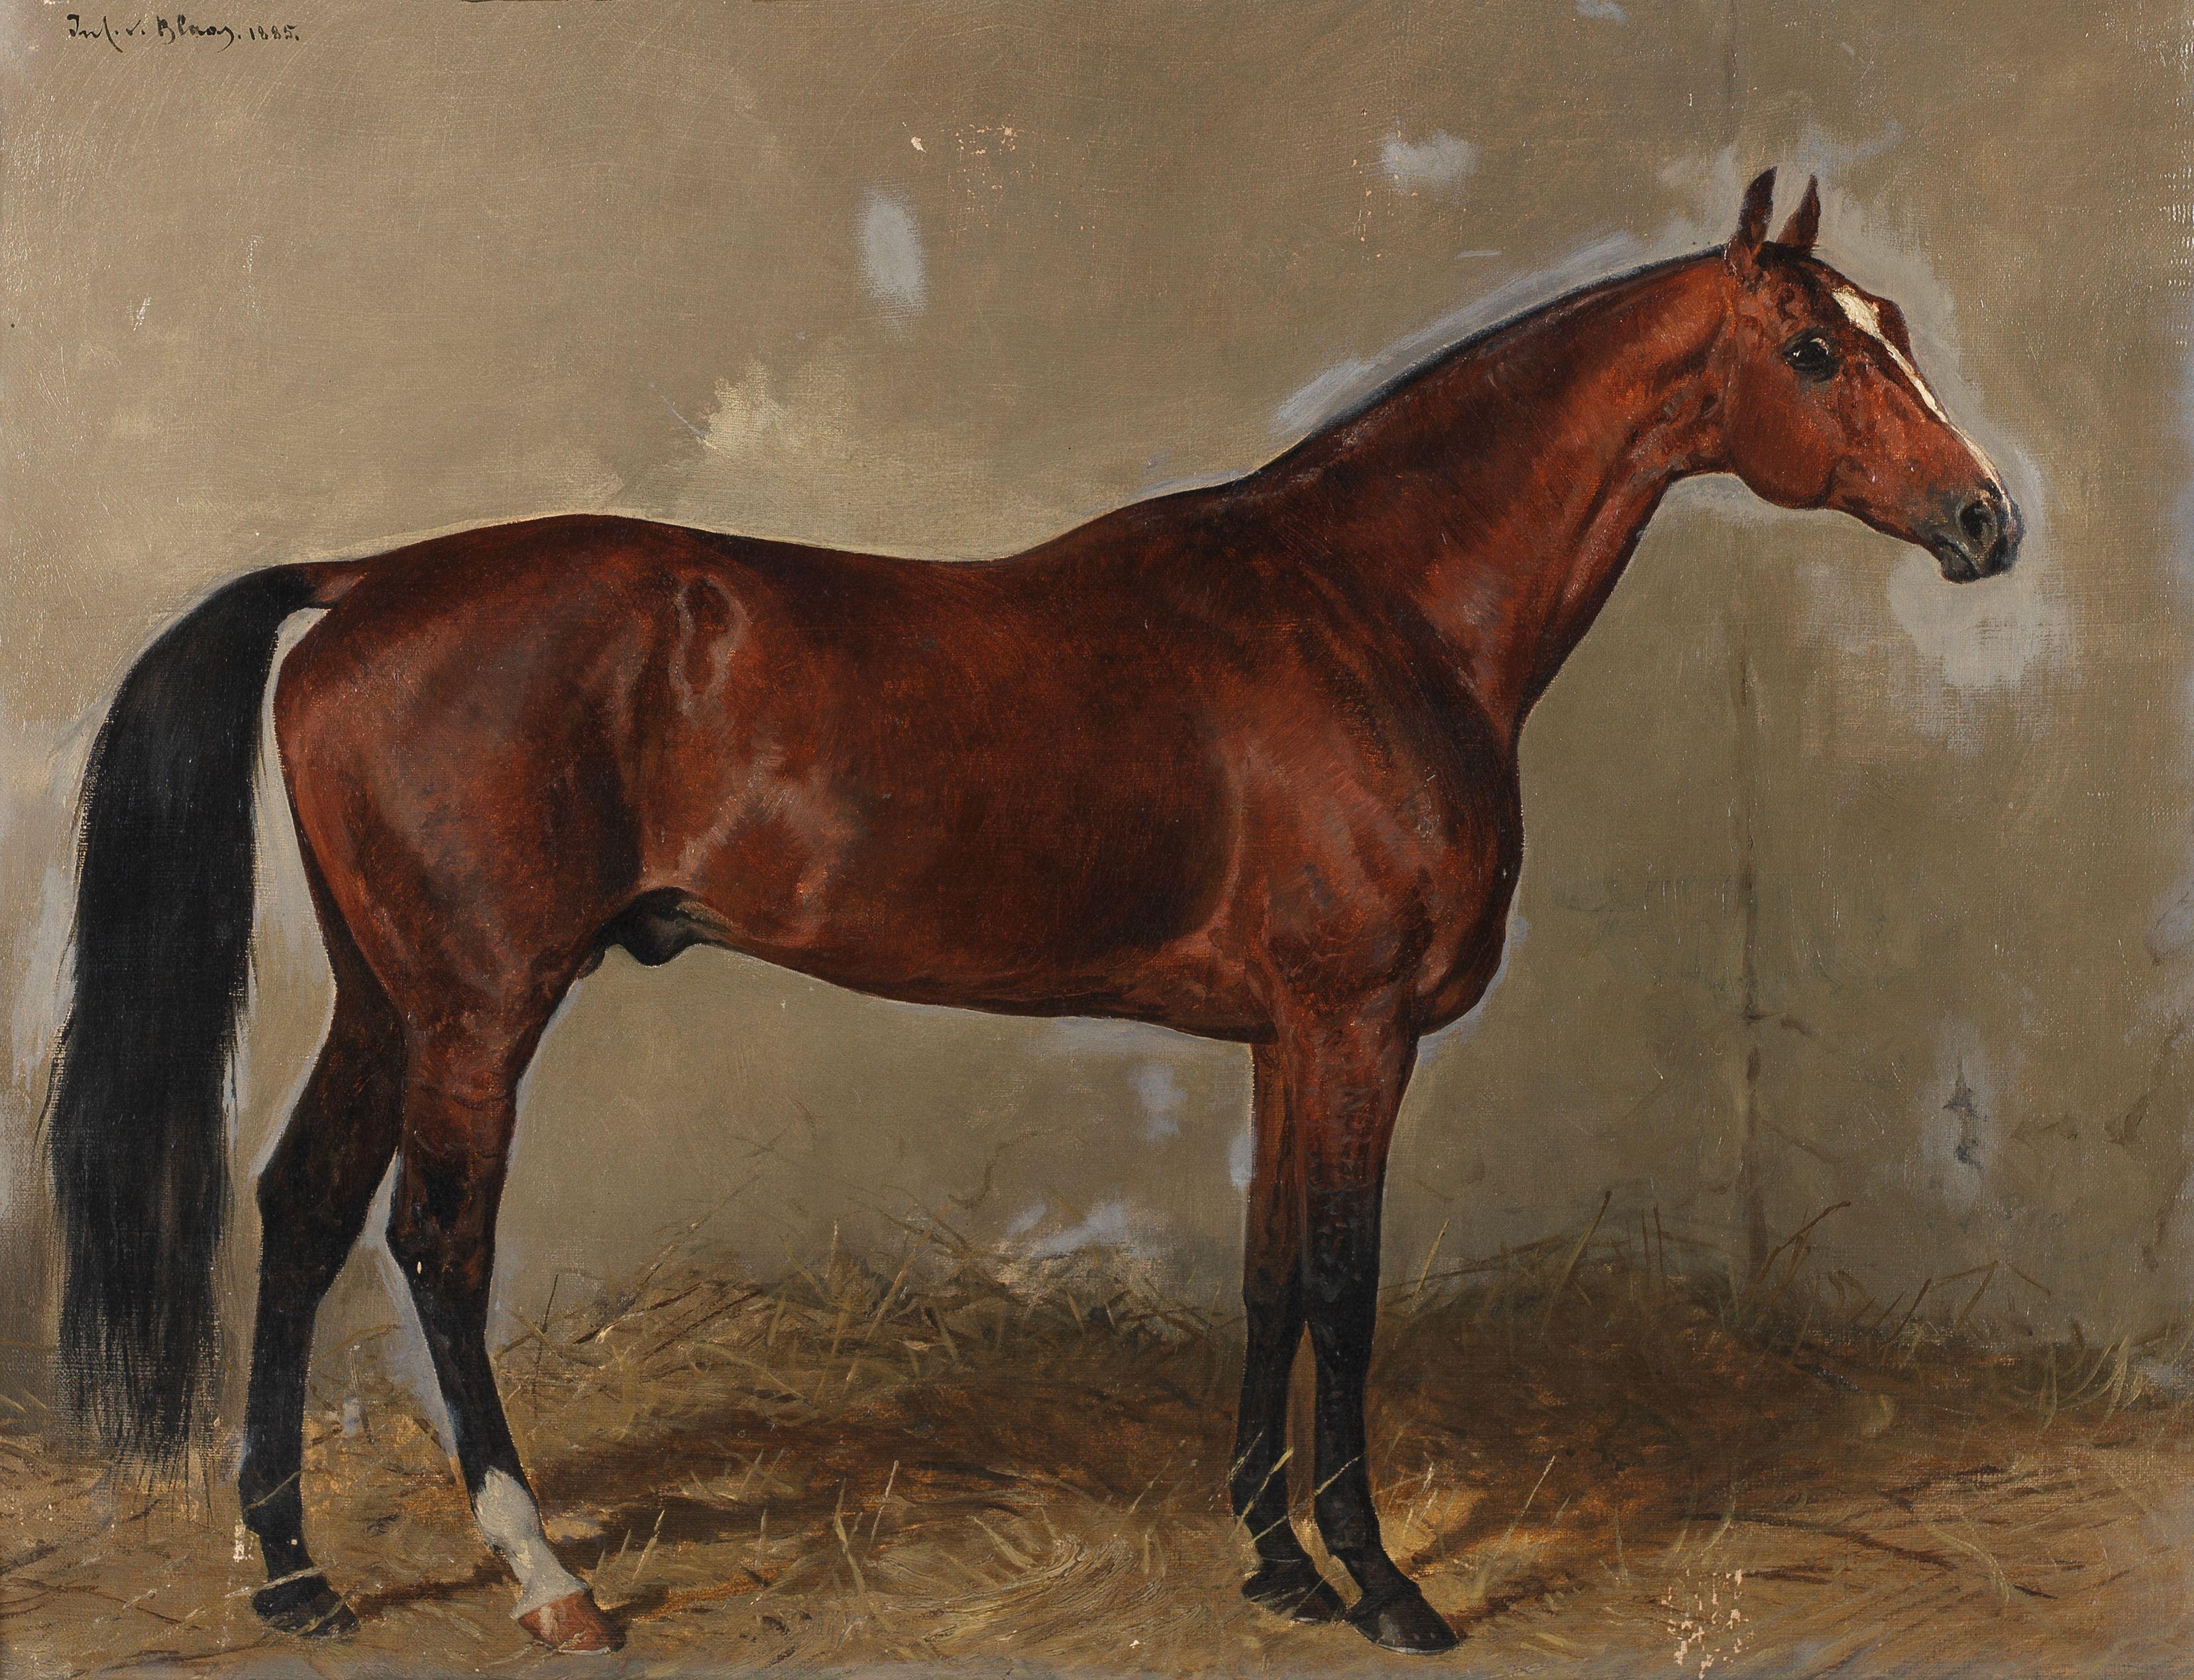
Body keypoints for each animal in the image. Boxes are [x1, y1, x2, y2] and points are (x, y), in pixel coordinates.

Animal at [45, 168, 2018, 1656]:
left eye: (1897, 335)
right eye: (1808, 348)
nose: (1988, 520)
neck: (1371, 609)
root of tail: (367, 580)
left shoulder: (1285, 1039)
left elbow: (1263, 1273)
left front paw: (1274, 1562)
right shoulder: (1357, 1026)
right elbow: (1345, 1279)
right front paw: (1383, 1583)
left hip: (387, 993)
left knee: (302, 1210)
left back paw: (296, 1576)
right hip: (479, 1001)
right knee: (435, 1244)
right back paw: (548, 1580)